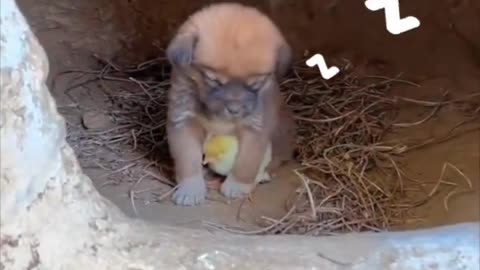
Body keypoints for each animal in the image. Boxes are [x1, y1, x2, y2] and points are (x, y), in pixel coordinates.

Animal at [166, 2, 296, 206]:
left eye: (255, 84)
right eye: (213, 80)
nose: (234, 110)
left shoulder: (255, 129)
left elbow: (246, 163)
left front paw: (237, 186)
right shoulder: (183, 120)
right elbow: (187, 160)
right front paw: (190, 189)